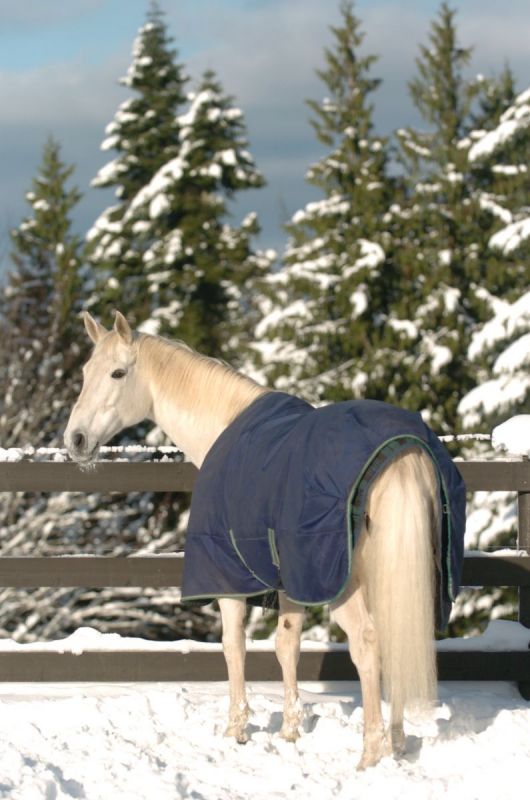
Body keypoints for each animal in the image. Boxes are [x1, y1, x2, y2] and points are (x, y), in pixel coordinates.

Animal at [64, 310, 465, 770]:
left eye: (117, 373)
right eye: (85, 372)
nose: (75, 440)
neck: (225, 425)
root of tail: (404, 450)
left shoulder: (229, 578)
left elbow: (233, 647)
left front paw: (236, 730)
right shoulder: (291, 577)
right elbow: (286, 645)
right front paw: (290, 731)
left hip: (344, 587)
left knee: (368, 644)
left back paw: (369, 754)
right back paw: (397, 743)